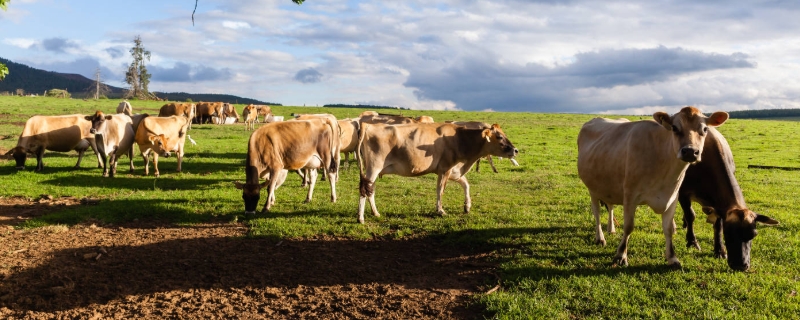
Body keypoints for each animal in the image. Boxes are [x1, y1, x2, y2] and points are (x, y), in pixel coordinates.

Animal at [356, 121, 520, 224]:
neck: (460, 139)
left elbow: (466, 184)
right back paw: (361, 218)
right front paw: (440, 210)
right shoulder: (445, 169)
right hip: (373, 167)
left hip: (372, 170)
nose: (515, 150)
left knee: (370, 191)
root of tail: (368, 125)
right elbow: (440, 190)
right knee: (364, 191)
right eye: (499, 136)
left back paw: (375, 213)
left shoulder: (454, 170)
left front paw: (467, 206)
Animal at [580, 105, 728, 268]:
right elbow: (629, 226)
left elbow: (668, 229)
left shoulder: (673, 197)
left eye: (705, 129)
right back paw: (600, 237)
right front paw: (620, 255)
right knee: (597, 213)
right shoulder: (630, 196)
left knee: (610, 206)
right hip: (593, 189)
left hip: (607, 187)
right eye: (674, 128)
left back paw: (611, 229)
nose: (690, 151)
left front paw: (672, 258)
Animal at [676, 127, 780, 270]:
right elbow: (691, 215)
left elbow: (717, 224)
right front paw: (692, 242)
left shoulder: (718, 205)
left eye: (754, 234)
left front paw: (719, 250)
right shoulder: (683, 193)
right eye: (728, 233)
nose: (741, 265)